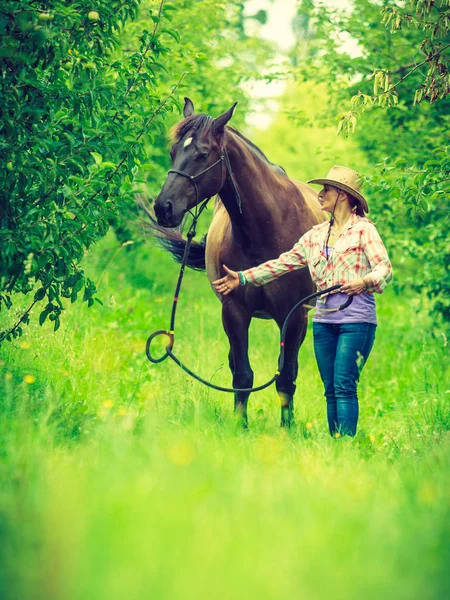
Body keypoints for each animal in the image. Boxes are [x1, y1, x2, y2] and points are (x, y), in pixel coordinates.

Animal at [150, 97, 324, 426]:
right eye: (173, 151)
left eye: (203, 154)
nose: (163, 208)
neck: (265, 230)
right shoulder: (234, 312)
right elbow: (242, 375)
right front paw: (239, 426)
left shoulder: (293, 316)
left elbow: (286, 377)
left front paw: (287, 429)